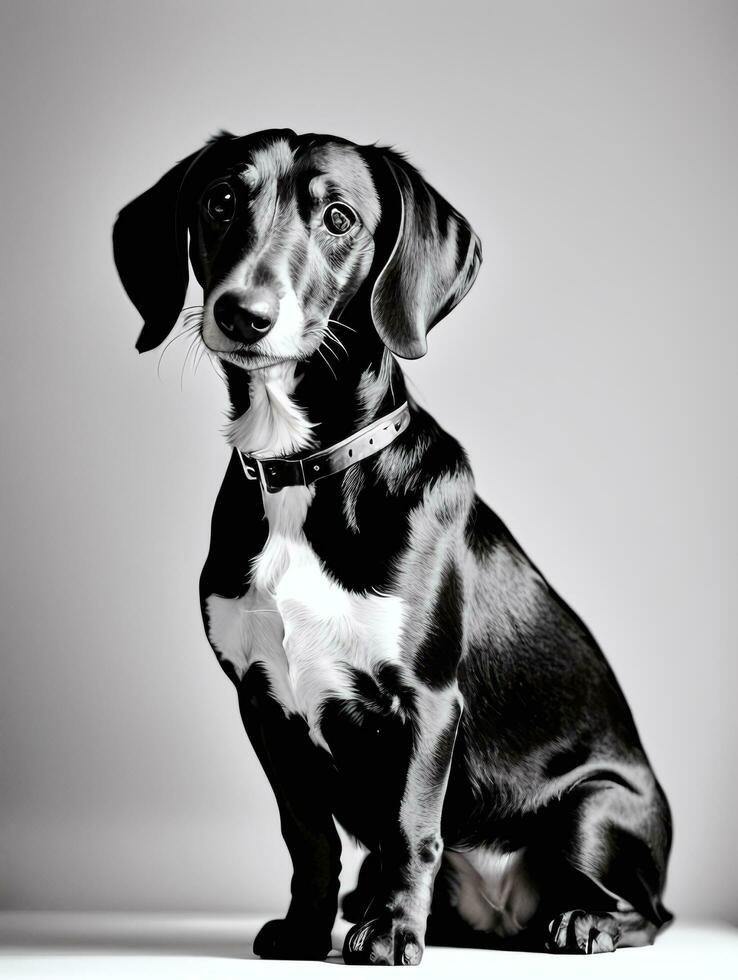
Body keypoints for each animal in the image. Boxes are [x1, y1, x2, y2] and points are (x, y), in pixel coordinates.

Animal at [112, 126, 668, 960]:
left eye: (339, 218)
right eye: (221, 201)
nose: (244, 314)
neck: (303, 470)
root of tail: (504, 914)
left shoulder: (427, 700)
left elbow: (411, 826)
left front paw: (390, 933)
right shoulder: (263, 706)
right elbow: (306, 834)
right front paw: (306, 928)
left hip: (592, 808)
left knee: (646, 910)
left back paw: (584, 920)